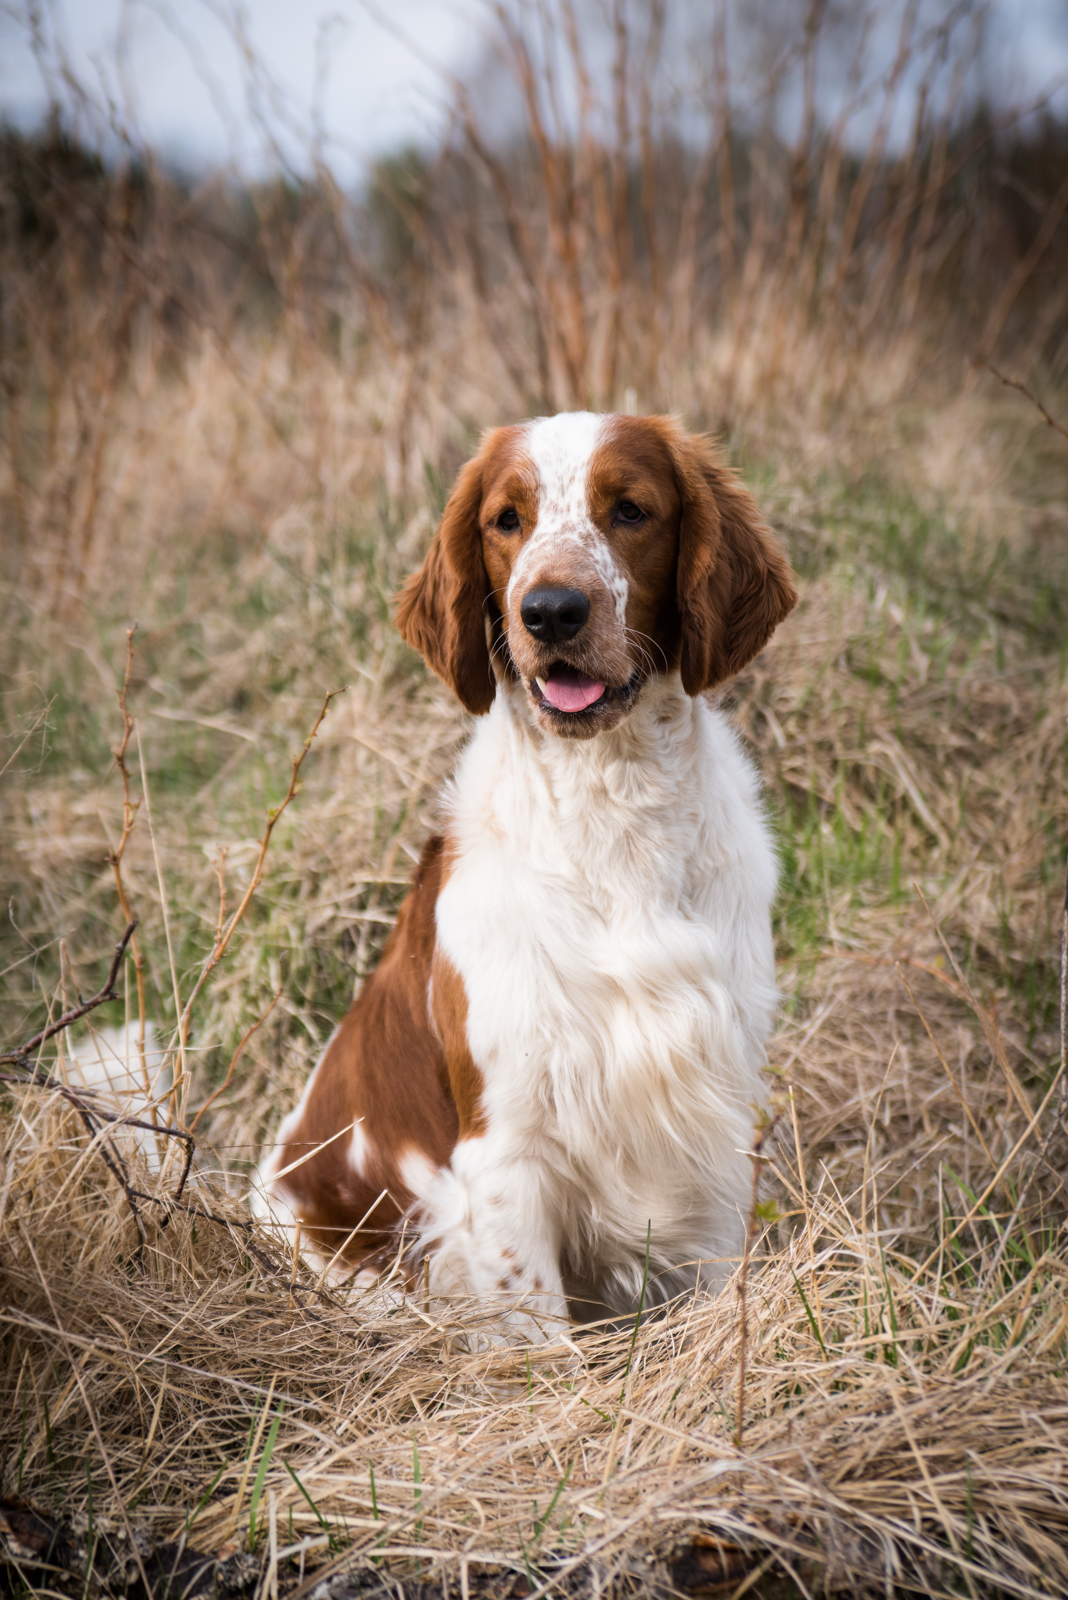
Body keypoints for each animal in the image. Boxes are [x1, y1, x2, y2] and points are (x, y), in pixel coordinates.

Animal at [255, 412, 797, 1338]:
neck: (613, 814)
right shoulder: (506, 1150)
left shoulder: (716, 1122)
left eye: (630, 509)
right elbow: (541, 1338)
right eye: (506, 520)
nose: (550, 610)